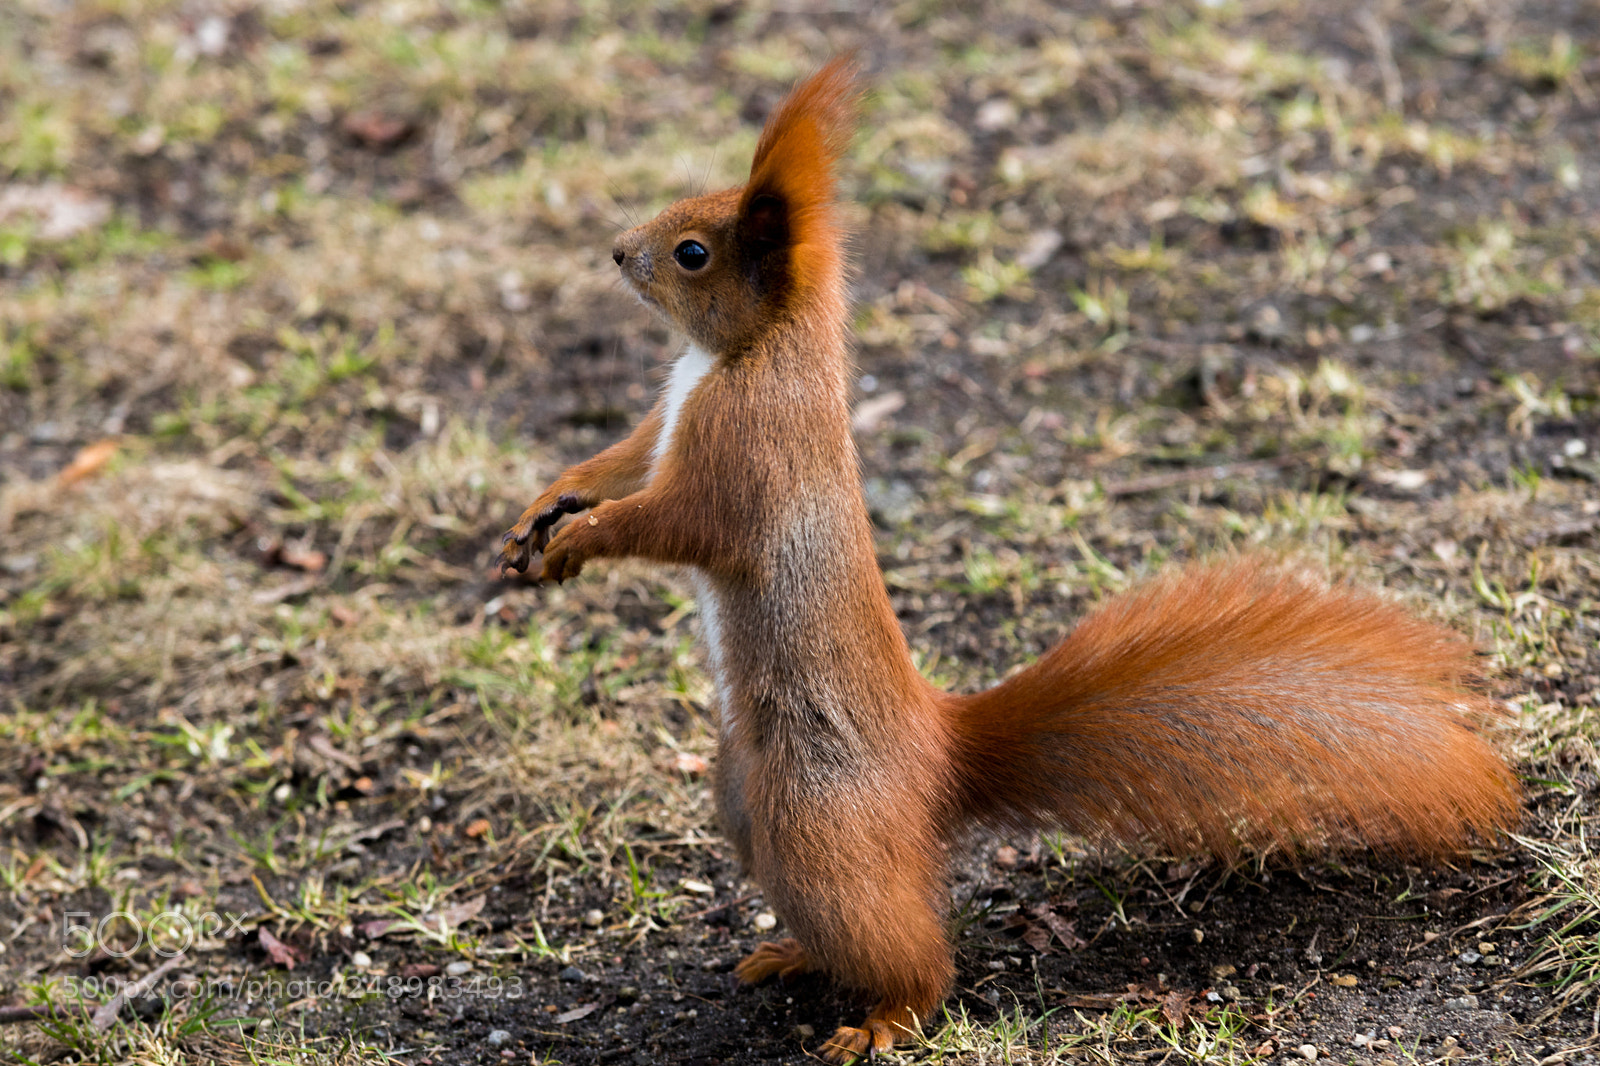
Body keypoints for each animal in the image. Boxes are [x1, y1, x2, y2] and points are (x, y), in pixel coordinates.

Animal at [498, 57, 1519, 1062]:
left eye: (693, 252)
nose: (616, 250)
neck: (736, 356)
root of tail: (941, 754)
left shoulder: (747, 455)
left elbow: (674, 521)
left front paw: (582, 538)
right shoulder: (661, 427)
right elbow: (617, 463)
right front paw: (543, 511)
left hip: (816, 817)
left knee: (909, 952)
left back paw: (884, 1017)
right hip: (745, 801)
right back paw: (792, 954)